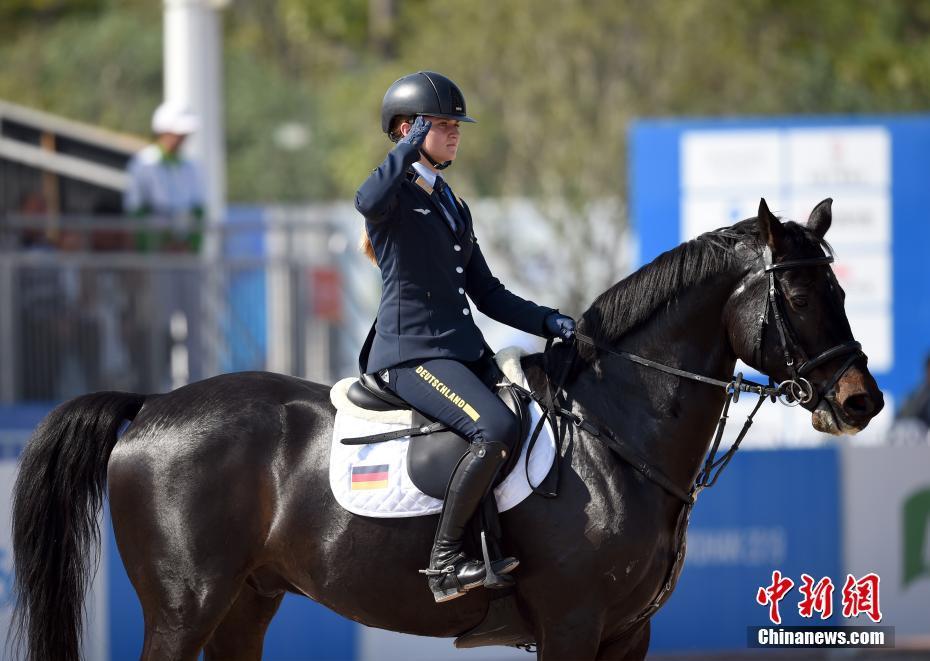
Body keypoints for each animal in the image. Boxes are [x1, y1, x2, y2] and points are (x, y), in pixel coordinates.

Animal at [12, 199, 884, 656]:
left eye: (839, 288)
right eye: (798, 296)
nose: (861, 402)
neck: (612, 439)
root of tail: (152, 406)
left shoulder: (627, 634)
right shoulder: (573, 626)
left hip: (246, 603)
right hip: (183, 607)